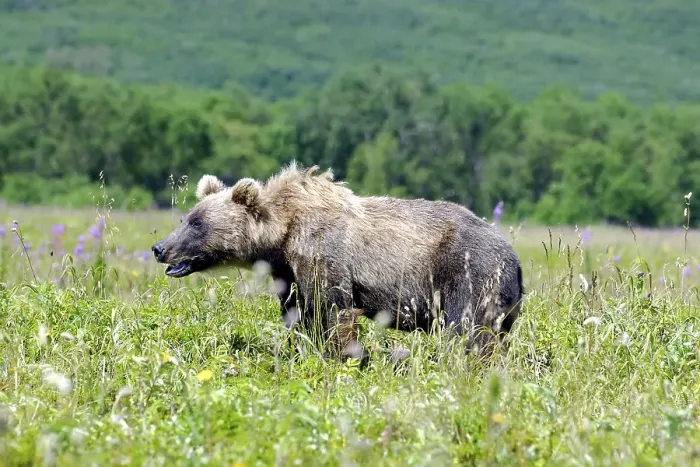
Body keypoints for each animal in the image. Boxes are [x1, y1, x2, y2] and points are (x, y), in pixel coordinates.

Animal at [151, 162, 524, 360]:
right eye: (186, 217)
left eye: (197, 223)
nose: (159, 248)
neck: (283, 235)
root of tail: (516, 260)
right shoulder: (288, 271)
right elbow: (300, 311)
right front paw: (302, 345)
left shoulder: (323, 254)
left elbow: (333, 308)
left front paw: (343, 355)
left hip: (469, 272)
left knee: (466, 330)